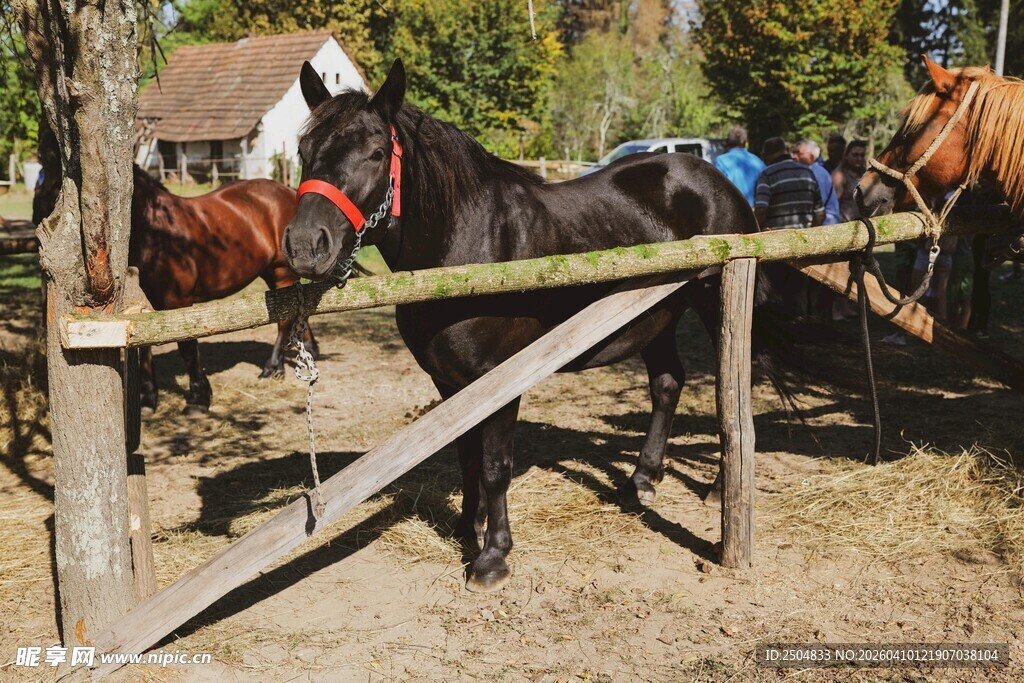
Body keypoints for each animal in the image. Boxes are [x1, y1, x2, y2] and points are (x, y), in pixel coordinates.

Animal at [130, 167, 319, 412]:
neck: (156, 232)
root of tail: (287, 190)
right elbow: (145, 345)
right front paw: (148, 398)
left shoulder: (180, 301)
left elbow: (187, 347)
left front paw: (198, 398)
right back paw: (289, 361)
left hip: (282, 273)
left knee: (284, 322)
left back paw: (269, 368)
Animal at [283, 59, 790, 592]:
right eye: (304, 151)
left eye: (377, 153)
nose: (305, 245)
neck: (467, 250)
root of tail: (714, 178)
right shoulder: (449, 382)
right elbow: (465, 455)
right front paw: (467, 528)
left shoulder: (500, 379)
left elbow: (493, 466)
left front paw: (492, 557)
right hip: (654, 314)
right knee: (668, 383)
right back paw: (641, 480)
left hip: (717, 302)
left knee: (733, 389)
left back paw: (717, 488)